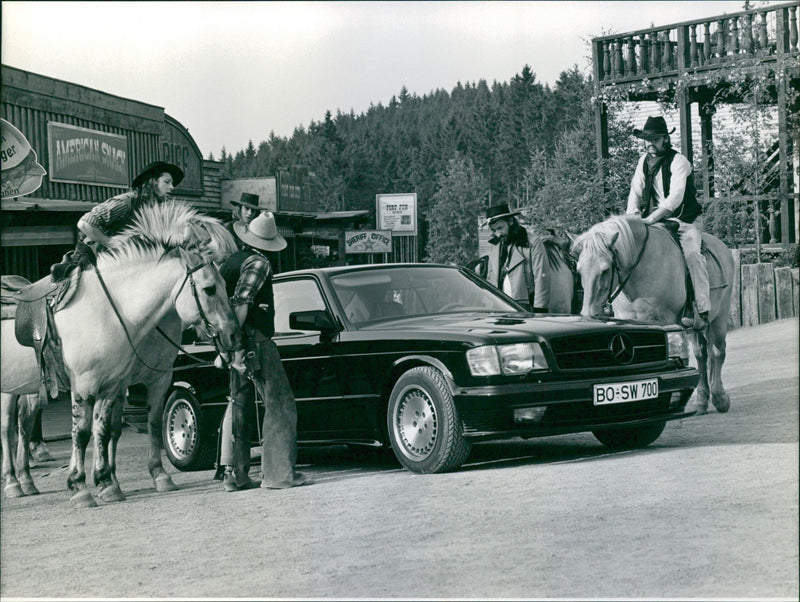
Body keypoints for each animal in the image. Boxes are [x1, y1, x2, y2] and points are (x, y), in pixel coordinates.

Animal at [1, 199, 242, 504]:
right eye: (209, 288)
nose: (233, 333)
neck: (112, 309)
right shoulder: (86, 385)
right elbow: (82, 433)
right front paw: (80, 487)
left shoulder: (123, 383)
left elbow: (112, 429)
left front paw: (111, 482)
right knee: (7, 428)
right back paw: (12, 481)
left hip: (27, 387)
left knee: (23, 424)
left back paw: (25, 480)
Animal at [572, 213, 736, 414]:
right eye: (579, 270)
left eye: (605, 269)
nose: (589, 313)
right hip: (693, 326)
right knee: (701, 355)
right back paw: (701, 401)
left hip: (719, 317)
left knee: (717, 352)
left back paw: (720, 398)